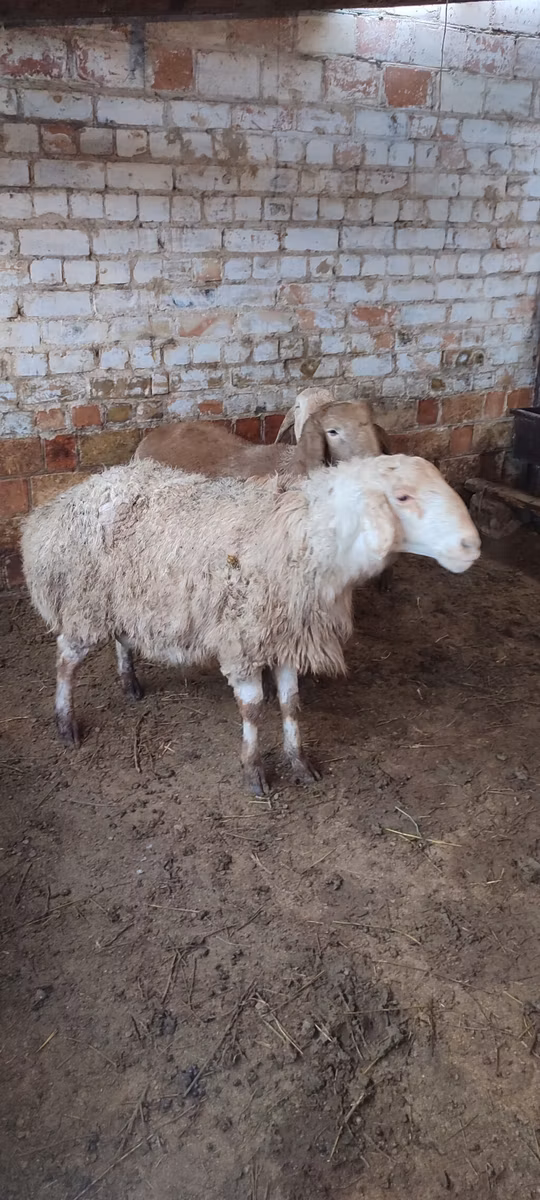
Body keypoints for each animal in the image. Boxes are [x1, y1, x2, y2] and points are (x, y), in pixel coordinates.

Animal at [22, 455, 480, 796]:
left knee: (121, 636)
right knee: (65, 661)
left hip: (124, 598)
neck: (306, 539)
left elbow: (291, 704)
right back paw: (65, 723)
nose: (472, 546)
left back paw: (130, 682)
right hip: (84, 604)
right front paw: (254, 770)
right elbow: (253, 709)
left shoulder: (288, 637)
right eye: (402, 496)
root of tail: (52, 509)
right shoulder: (243, 641)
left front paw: (299, 762)